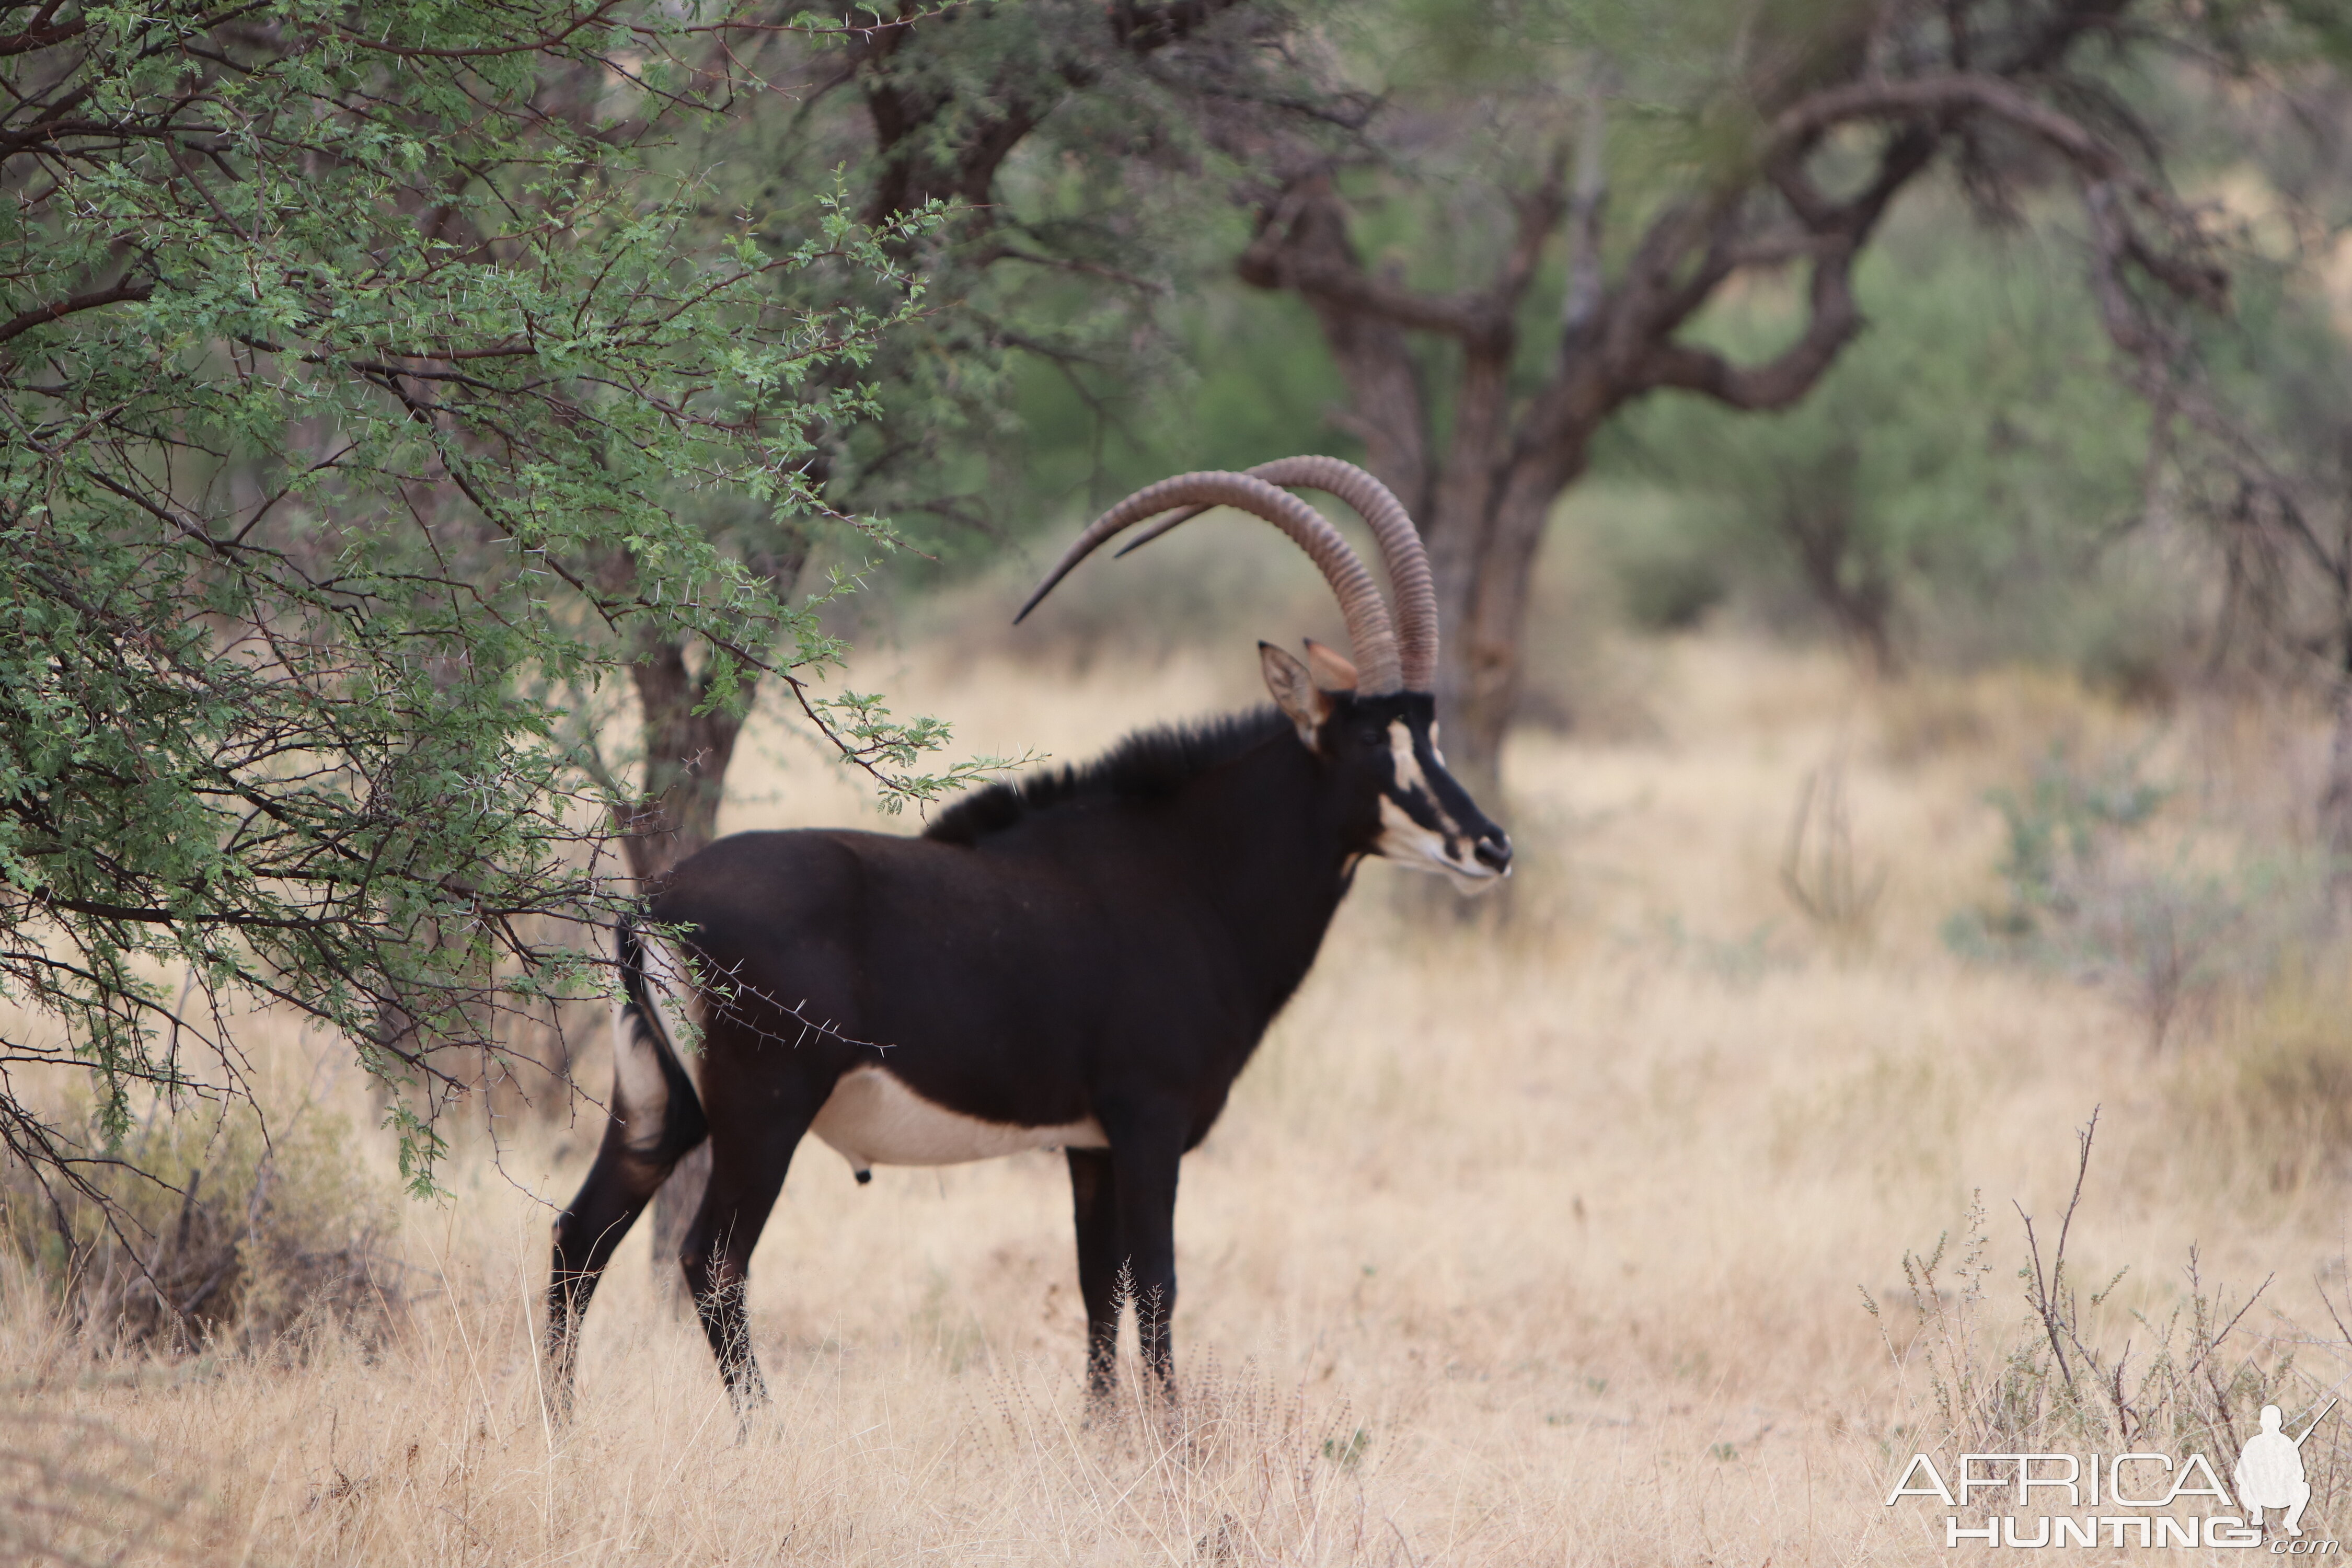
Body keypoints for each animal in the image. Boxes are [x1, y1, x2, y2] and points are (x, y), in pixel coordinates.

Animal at [546, 454, 1505, 1410]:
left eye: (1430, 732)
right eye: (1375, 745)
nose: (1490, 846)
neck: (1191, 869)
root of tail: (656, 904)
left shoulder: (1089, 1144)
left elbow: (1099, 1289)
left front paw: (1102, 1429)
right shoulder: (1149, 1122)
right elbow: (1157, 1283)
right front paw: (1168, 1435)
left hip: (654, 1104)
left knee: (578, 1237)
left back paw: (564, 1422)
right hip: (766, 1107)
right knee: (711, 1260)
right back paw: (763, 1430)